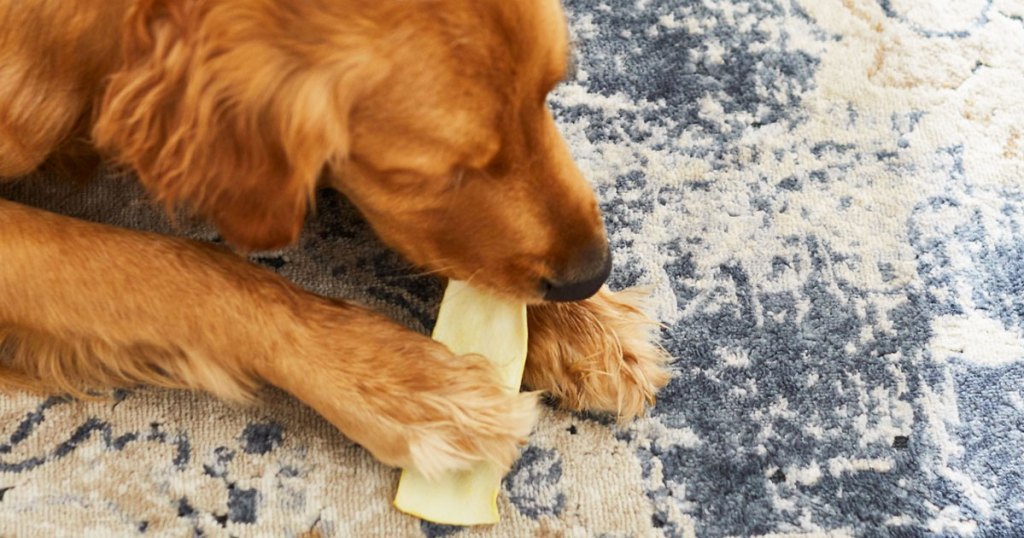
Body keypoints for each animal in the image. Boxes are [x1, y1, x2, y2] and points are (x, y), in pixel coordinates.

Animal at [0, 0, 671, 477]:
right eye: (430, 173)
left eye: (550, 91)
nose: (592, 272)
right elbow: (178, 268)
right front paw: (403, 386)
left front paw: (583, 327)